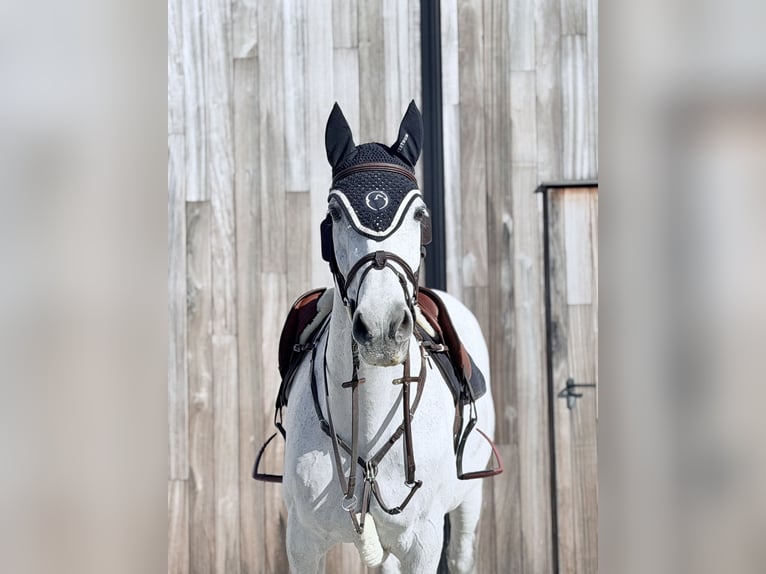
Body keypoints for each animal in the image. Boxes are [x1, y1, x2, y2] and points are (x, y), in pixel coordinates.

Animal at [277, 101, 498, 573]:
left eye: (419, 214)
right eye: (335, 213)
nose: (381, 328)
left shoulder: (423, 543)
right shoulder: (302, 543)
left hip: (470, 500)